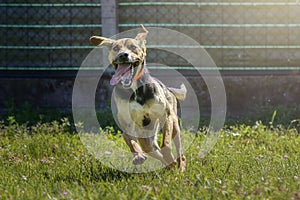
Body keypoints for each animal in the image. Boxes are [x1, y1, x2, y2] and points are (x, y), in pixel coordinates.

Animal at [90, 24, 186, 172]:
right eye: (116, 48)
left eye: (133, 47)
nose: (123, 55)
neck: (134, 90)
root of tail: (169, 89)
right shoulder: (127, 124)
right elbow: (132, 141)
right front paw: (138, 156)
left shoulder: (166, 116)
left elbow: (166, 143)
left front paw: (169, 155)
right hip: (146, 137)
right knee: (152, 149)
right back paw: (168, 165)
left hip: (174, 125)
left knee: (179, 151)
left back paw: (180, 167)